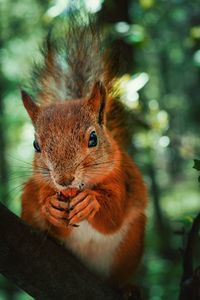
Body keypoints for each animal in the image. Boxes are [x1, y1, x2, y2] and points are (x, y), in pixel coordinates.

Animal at [20, 12, 148, 292]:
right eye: (36, 145)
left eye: (93, 138)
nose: (64, 180)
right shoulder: (38, 187)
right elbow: (52, 219)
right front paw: (50, 207)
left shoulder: (121, 178)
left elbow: (113, 217)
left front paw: (91, 201)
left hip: (131, 246)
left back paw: (128, 289)